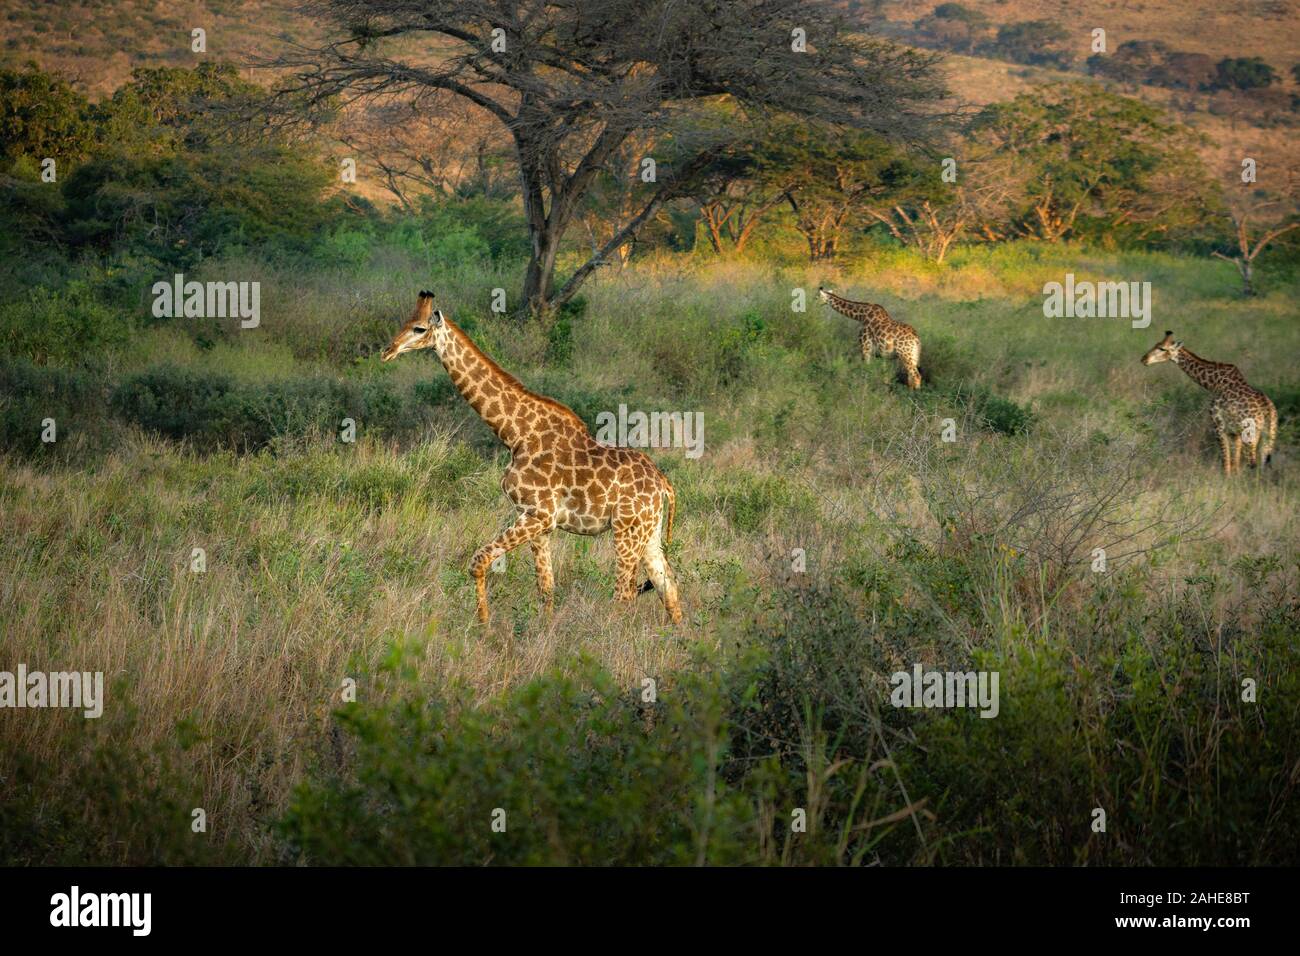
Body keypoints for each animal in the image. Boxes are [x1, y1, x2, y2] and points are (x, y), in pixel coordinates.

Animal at [379, 287, 686, 624]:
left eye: (419, 328)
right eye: (404, 322)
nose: (387, 351)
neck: (515, 435)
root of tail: (664, 485)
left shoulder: (537, 514)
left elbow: (478, 560)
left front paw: (484, 626)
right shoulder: (539, 523)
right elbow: (545, 588)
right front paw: (541, 629)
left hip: (626, 530)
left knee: (624, 594)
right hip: (648, 532)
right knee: (668, 585)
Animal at [1138, 330, 1279, 476]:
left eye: (1162, 348)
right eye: (1156, 345)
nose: (1144, 359)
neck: (1214, 383)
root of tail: (1268, 411)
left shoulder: (1219, 427)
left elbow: (1226, 464)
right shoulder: (1234, 433)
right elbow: (1234, 464)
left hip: (1250, 436)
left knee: (1253, 464)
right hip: (1268, 438)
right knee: (1263, 466)